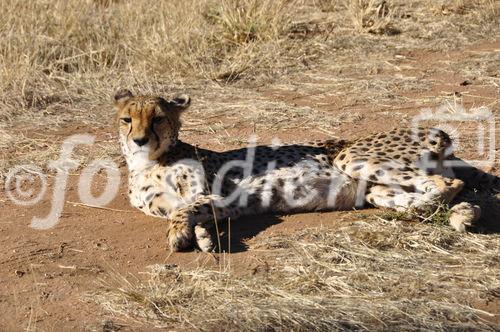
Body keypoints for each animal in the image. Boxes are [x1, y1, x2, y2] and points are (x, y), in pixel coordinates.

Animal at [114, 88, 492, 252]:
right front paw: (203, 236)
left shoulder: (211, 195)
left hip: (351, 156)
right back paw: (461, 215)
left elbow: (186, 210)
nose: (139, 139)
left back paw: (437, 212)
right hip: (374, 188)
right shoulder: (201, 203)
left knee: (445, 183)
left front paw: (185, 235)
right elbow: (187, 211)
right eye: (127, 119)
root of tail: (432, 129)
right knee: (444, 193)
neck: (149, 162)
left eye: (158, 119)